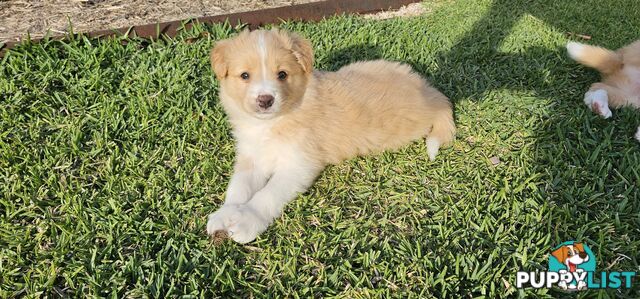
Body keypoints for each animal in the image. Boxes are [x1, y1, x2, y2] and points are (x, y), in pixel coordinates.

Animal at [206, 28, 456, 244]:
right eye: (244, 75)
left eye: (282, 74)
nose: (265, 100)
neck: (271, 124)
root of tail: (432, 94)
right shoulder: (251, 157)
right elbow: (238, 187)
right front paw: (224, 215)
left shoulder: (299, 164)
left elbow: (268, 194)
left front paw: (247, 220)